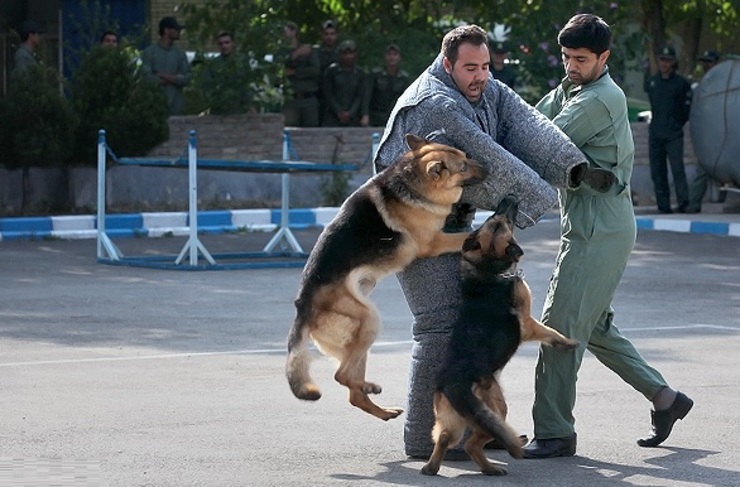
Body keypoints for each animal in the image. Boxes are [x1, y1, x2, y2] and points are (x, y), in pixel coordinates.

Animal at [286, 134, 488, 424]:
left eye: (467, 156)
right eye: (463, 167)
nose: (489, 168)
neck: (412, 181)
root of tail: (302, 307)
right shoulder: (435, 242)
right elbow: (468, 236)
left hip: (357, 337)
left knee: (352, 390)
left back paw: (378, 404)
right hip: (368, 318)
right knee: (342, 376)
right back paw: (371, 392)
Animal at [420, 195, 580, 476]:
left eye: (496, 217)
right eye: (503, 218)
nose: (510, 198)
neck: (488, 264)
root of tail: (454, 382)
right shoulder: (528, 323)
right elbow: (550, 332)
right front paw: (568, 342)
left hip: (454, 419)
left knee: (445, 439)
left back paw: (434, 468)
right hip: (496, 408)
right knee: (473, 443)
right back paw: (496, 464)